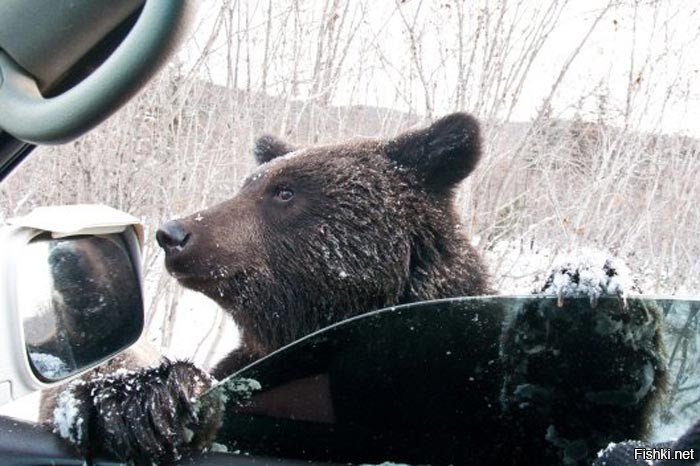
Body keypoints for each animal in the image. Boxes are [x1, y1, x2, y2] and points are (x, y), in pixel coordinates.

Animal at [49, 113, 666, 465]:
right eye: (250, 184)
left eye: (284, 192)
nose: (174, 233)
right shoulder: (269, 387)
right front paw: (135, 402)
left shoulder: (456, 384)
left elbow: (570, 426)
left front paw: (587, 307)